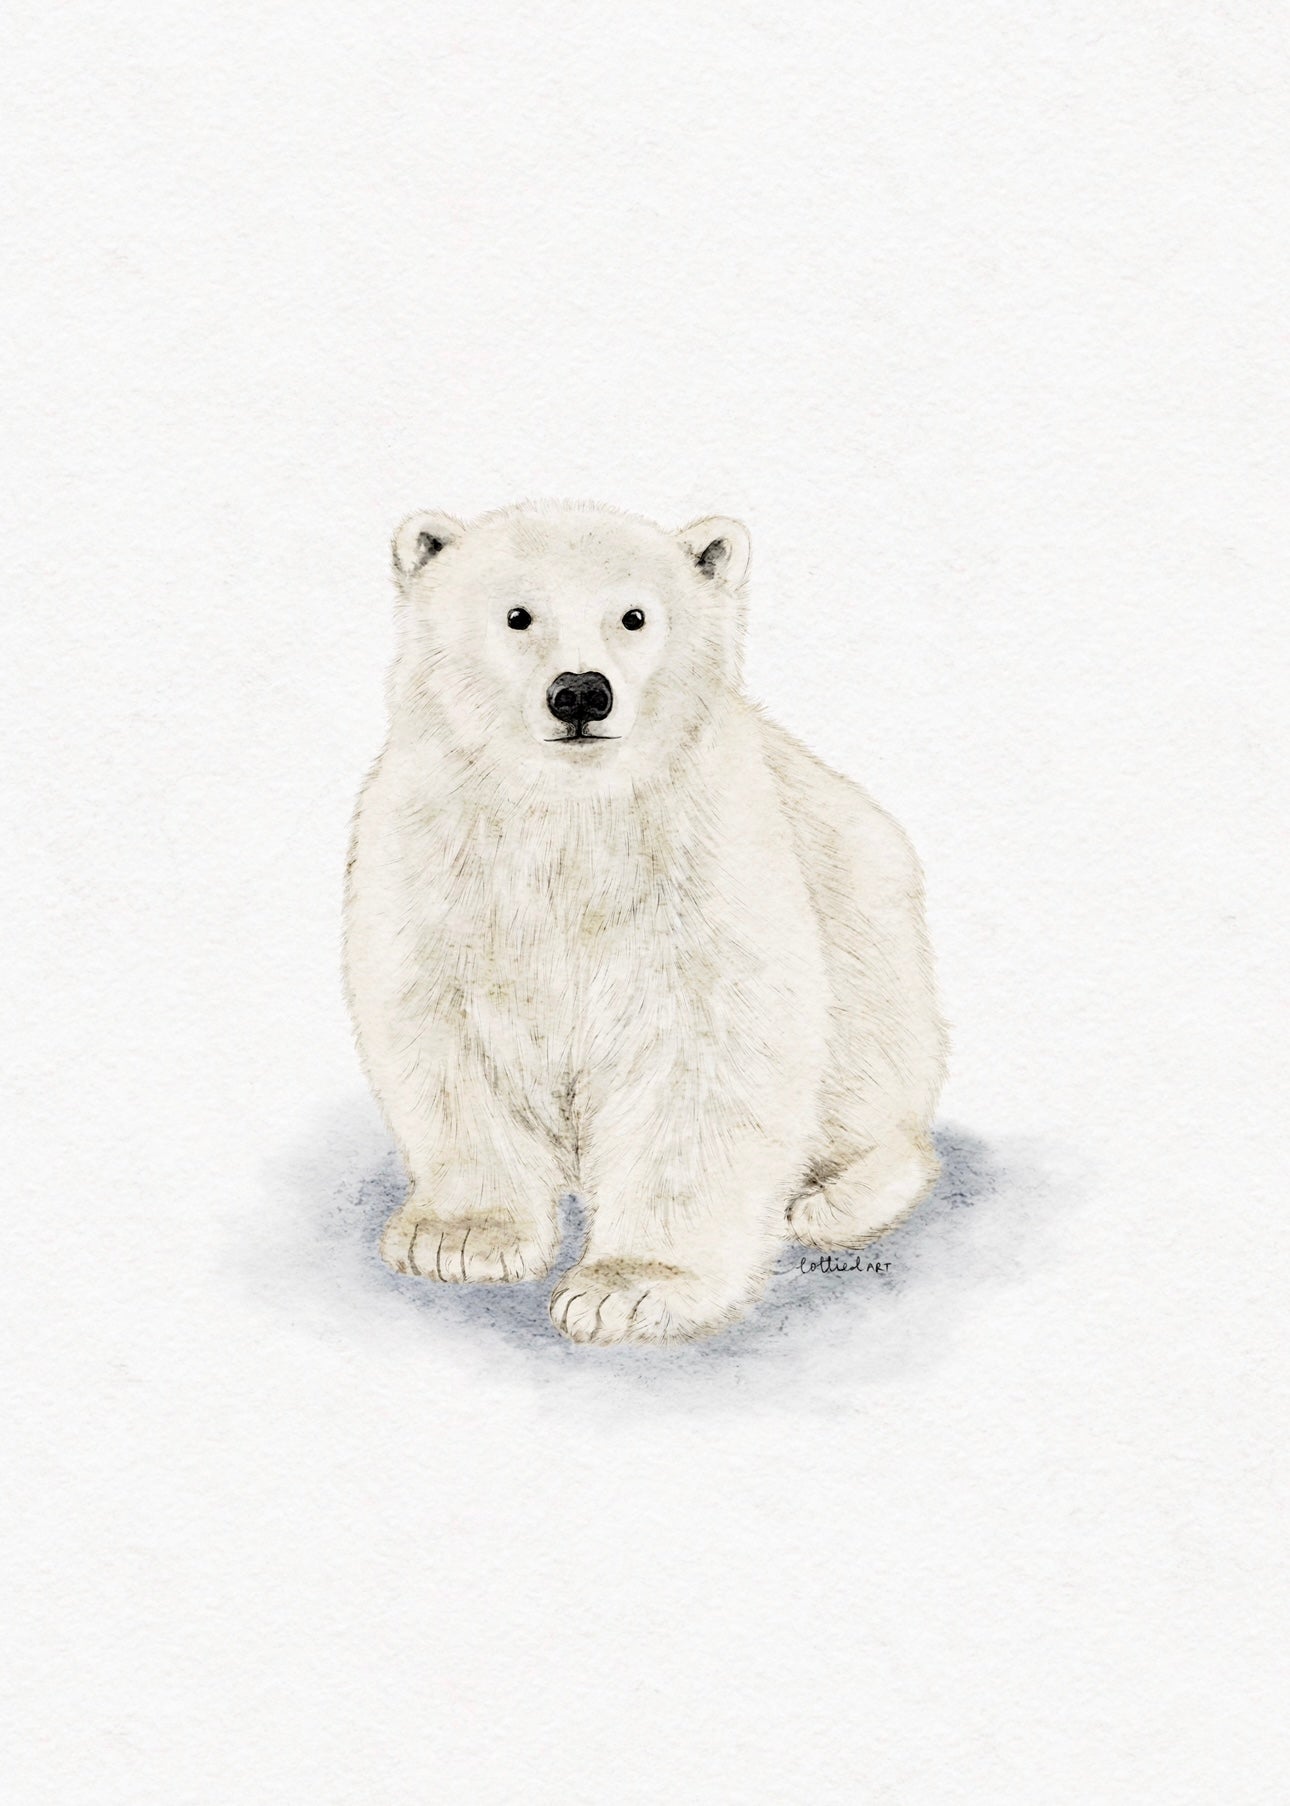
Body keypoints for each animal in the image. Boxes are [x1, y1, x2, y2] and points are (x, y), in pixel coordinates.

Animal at [343, 500, 947, 1343]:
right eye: (517, 615)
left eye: (634, 616)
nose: (580, 693)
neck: (570, 817)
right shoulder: (444, 860)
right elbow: (449, 1036)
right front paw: (461, 1239)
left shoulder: (700, 866)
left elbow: (703, 1059)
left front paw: (629, 1288)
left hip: (877, 948)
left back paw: (833, 1202)